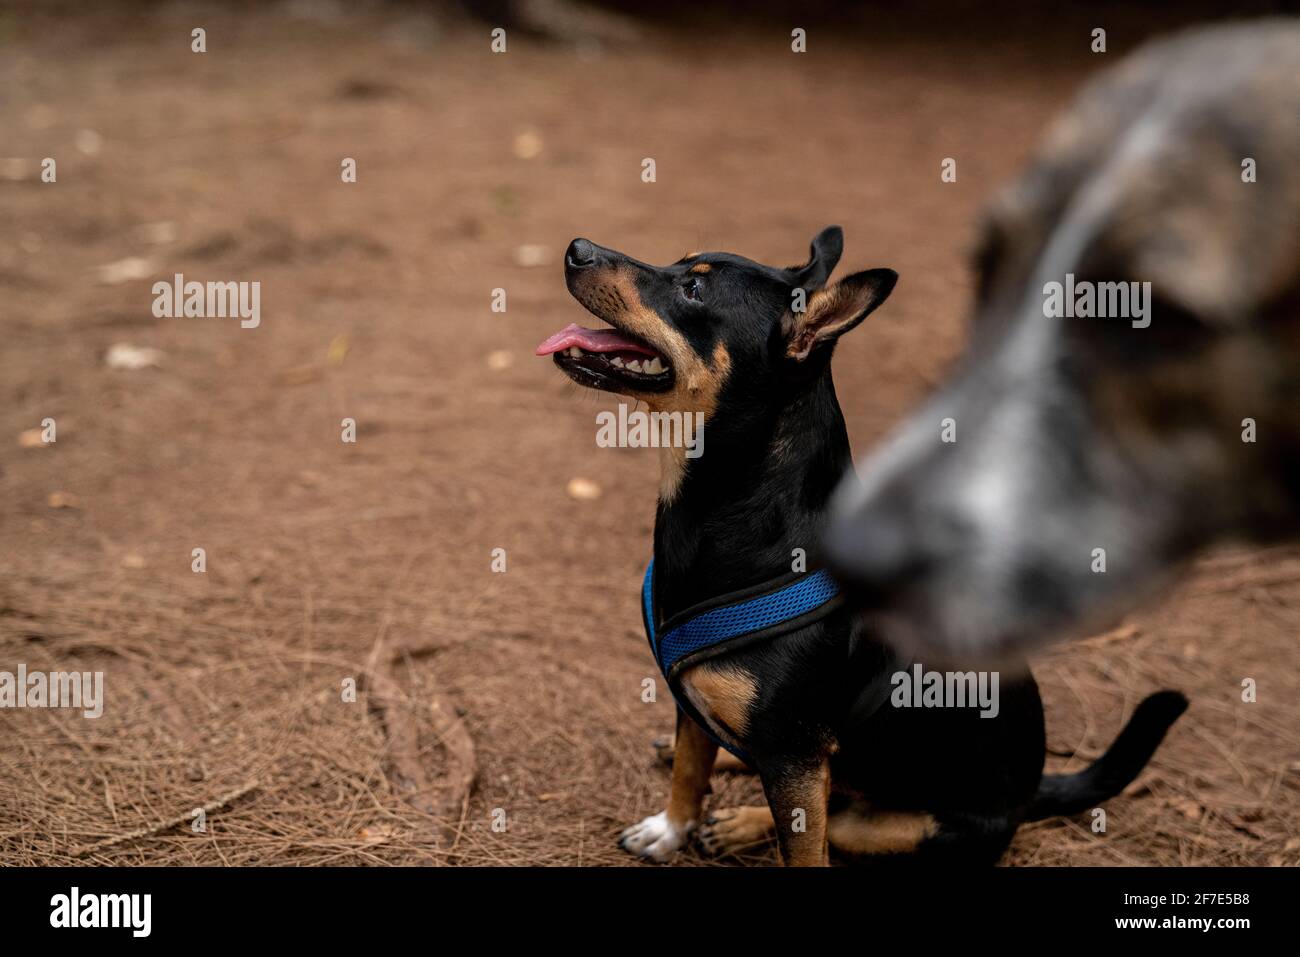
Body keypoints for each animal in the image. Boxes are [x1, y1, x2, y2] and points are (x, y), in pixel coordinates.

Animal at [533, 231, 1185, 868]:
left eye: (694, 289)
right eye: (679, 261)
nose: (576, 247)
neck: (722, 501)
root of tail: (1032, 792)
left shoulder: (795, 754)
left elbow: (803, 849)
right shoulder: (697, 703)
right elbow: (691, 770)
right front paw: (671, 829)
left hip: (906, 825)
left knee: (835, 816)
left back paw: (744, 818)